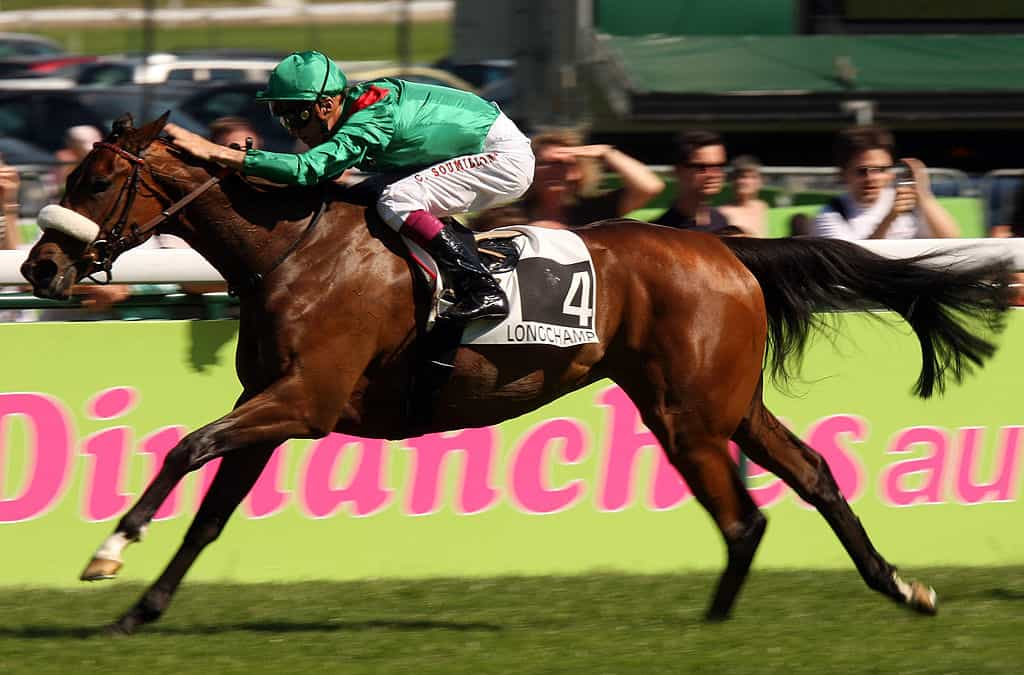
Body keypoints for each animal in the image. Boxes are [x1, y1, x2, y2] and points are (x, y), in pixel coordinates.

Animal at [19, 113, 1011, 635]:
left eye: (97, 179)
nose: (38, 268)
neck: (289, 251)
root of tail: (728, 248)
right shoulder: (272, 405)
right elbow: (213, 509)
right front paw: (140, 609)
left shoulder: (301, 401)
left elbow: (185, 449)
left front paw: (108, 551)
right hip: (724, 401)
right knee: (808, 477)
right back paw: (901, 585)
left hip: (688, 412)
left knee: (744, 513)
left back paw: (714, 626)